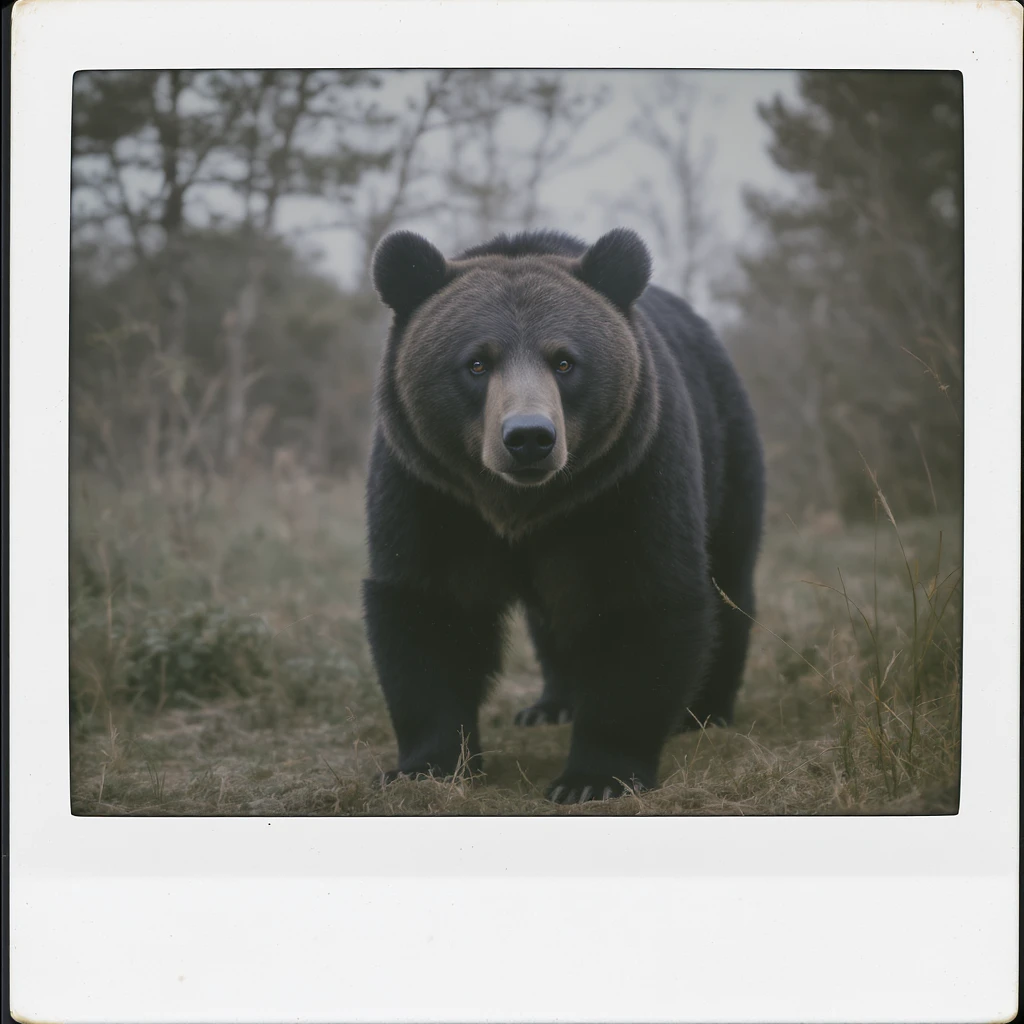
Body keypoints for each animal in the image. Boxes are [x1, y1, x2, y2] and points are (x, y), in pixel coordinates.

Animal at [362, 227, 764, 804]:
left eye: (565, 361)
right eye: (477, 362)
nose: (529, 437)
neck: (522, 505)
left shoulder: (629, 479)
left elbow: (641, 600)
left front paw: (594, 777)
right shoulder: (429, 489)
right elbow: (428, 609)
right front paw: (424, 766)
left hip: (728, 452)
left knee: (729, 578)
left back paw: (706, 711)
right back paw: (550, 705)